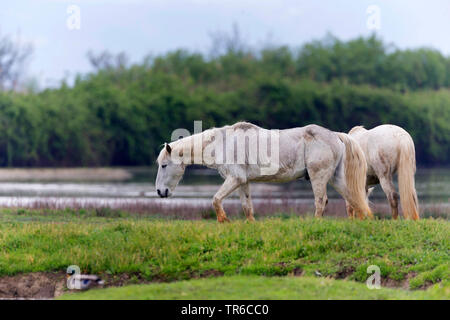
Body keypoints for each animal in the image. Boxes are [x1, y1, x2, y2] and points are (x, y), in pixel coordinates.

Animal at [156, 122, 372, 222]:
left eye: (164, 165)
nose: (160, 192)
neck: (222, 143)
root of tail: (335, 135)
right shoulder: (243, 181)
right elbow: (247, 206)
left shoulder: (235, 178)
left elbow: (216, 199)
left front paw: (224, 220)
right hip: (337, 179)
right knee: (354, 199)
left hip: (318, 177)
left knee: (321, 201)